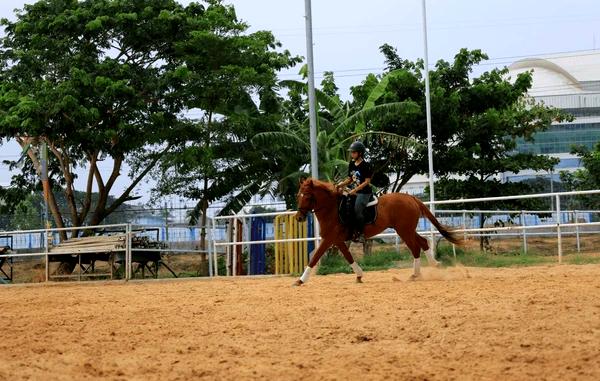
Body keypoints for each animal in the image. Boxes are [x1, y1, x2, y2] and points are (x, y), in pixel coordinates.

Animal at [292, 178, 462, 284]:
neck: (333, 209)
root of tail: (411, 198)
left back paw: (415, 274)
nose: (299, 217)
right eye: (298, 195)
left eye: (308, 196)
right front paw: (359, 275)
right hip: (407, 229)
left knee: (415, 248)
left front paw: (300, 280)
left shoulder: (329, 239)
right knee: (423, 242)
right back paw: (433, 265)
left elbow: (314, 258)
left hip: (404, 231)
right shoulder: (337, 240)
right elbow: (348, 257)